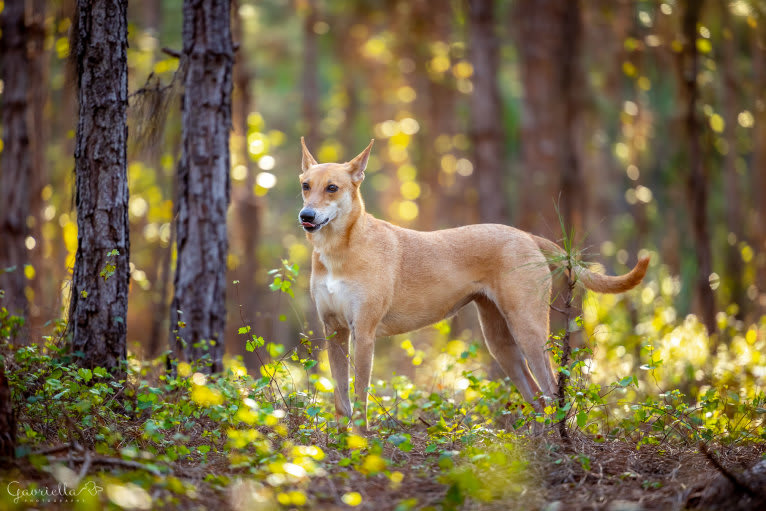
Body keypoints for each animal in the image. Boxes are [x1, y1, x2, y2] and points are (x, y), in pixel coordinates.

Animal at [300, 138, 648, 430]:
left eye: (332, 188)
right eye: (305, 185)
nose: (306, 215)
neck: (339, 250)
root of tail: (526, 236)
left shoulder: (364, 332)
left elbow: (359, 396)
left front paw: (360, 440)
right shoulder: (334, 331)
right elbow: (340, 398)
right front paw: (342, 440)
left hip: (528, 330)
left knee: (552, 393)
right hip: (500, 342)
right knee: (537, 398)